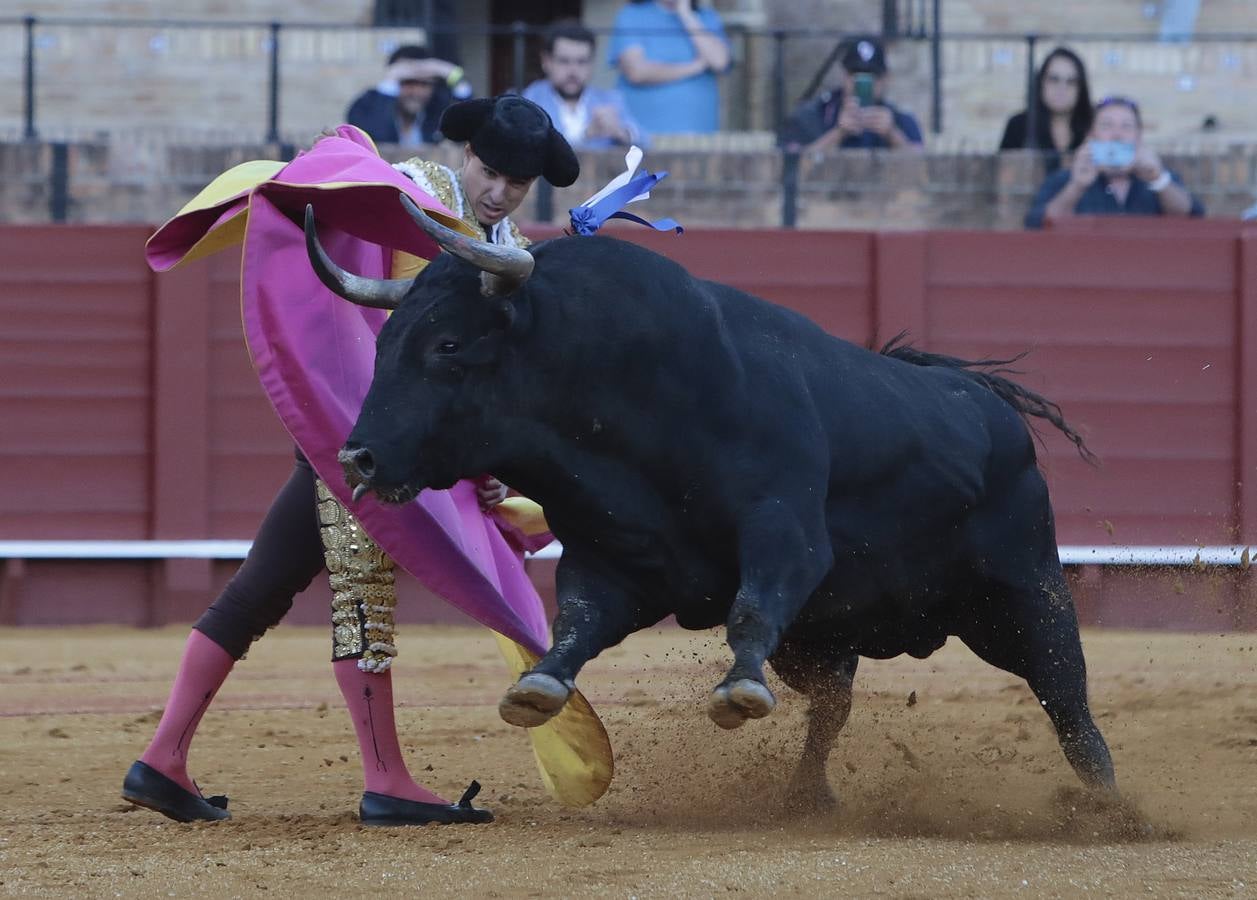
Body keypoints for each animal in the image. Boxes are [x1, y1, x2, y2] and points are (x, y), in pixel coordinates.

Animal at [306, 198, 1121, 809]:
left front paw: (735, 693)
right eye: (382, 345)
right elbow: (576, 622)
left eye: (447, 345)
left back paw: (1110, 808)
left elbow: (751, 606)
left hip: (1026, 591)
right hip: (823, 638)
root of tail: (986, 403)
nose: (356, 457)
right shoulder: (611, 557)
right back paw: (805, 798)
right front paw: (537, 688)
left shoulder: (785, 531)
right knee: (833, 704)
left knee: (1065, 696)